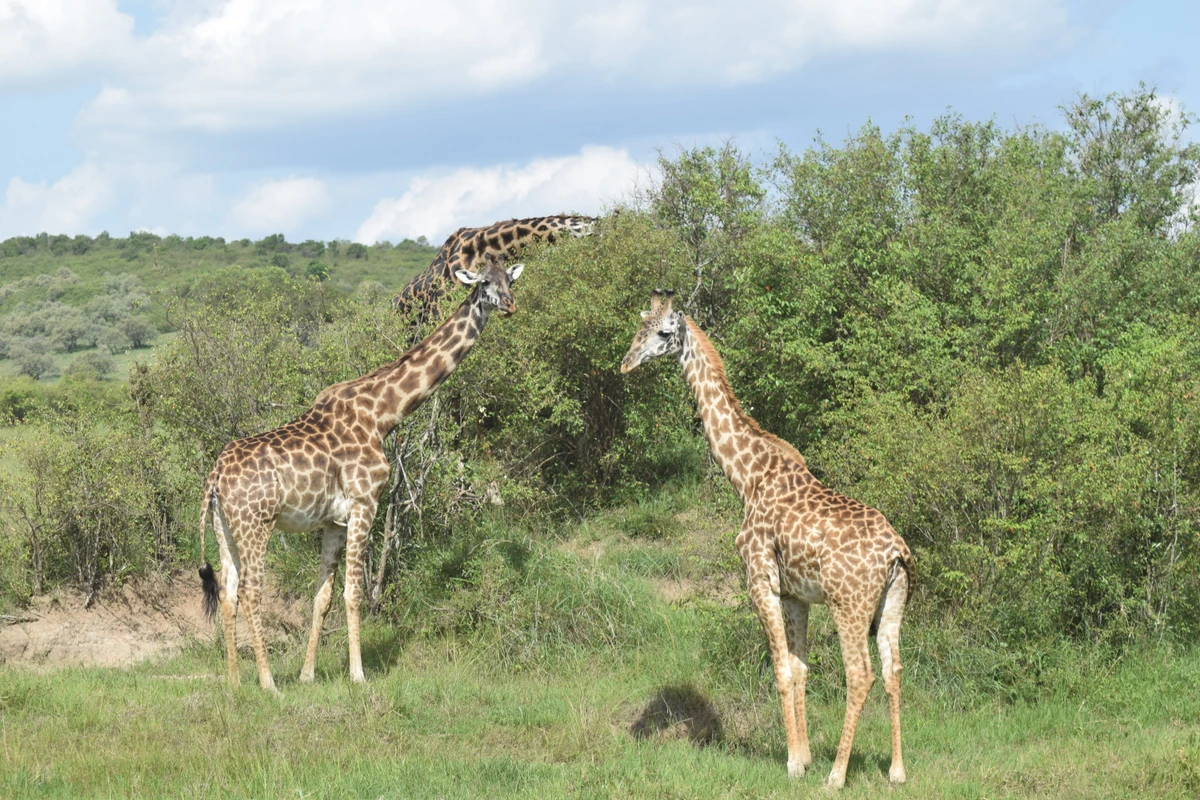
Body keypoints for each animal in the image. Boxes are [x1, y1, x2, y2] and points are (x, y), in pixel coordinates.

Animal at [198, 253, 525, 690]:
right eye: (485, 282)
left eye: (510, 279)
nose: (509, 305)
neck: (382, 413)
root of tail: (214, 478)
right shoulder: (365, 502)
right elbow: (354, 593)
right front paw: (358, 675)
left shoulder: (334, 521)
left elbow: (323, 597)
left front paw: (307, 675)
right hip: (257, 524)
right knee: (252, 591)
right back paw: (268, 684)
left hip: (225, 529)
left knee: (229, 592)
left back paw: (235, 683)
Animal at [624, 291, 912, 791]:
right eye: (639, 326)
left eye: (662, 332)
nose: (626, 363)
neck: (746, 477)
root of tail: (898, 551)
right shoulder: (796, 593)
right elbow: (799, 669)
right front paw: (805, 755)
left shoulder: (759, 579)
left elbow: (779, 670)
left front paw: (795, 764)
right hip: (891, 604)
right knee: (892, 670)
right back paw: (896, 771)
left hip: (849, 604)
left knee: (860, 675)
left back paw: (837, 775)